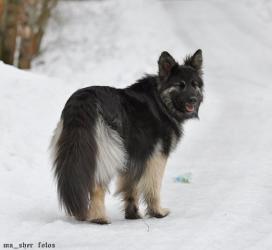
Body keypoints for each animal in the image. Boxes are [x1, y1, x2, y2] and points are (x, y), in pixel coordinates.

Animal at [51, 49, 204, 225]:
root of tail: (83, 101)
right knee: (96, 186)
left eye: (194, 85)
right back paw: (98, 217)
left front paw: (133, 214)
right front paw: (158, 212)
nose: (193, 99)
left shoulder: (133, 158)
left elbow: (132, 187)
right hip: (107, 153)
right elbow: (153, 186)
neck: (161, 101)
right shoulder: (157, 156)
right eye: (180, 85)